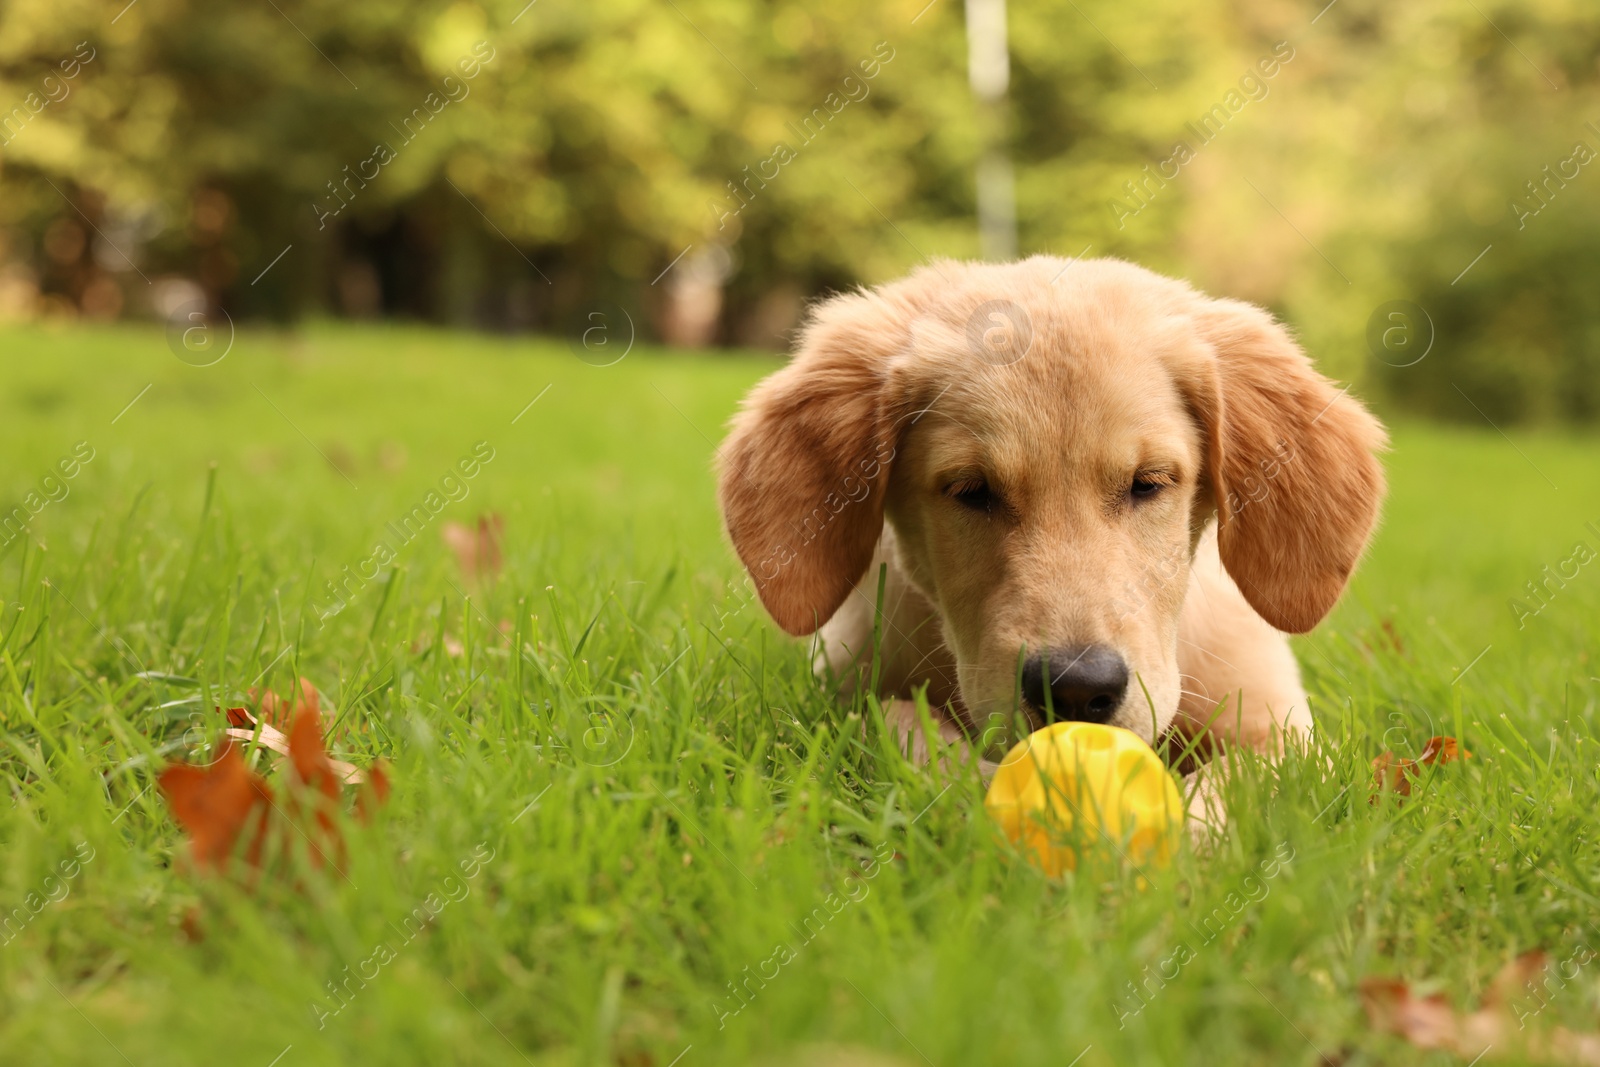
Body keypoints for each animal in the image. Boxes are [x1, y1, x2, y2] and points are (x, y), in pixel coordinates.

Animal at [720, 255, 1382, 793]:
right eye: (971, 491)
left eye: (1149, 483)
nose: (1076, 690)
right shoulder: (846, 692)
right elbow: (904, 731)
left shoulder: (1285, 731)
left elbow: (1236, 787)